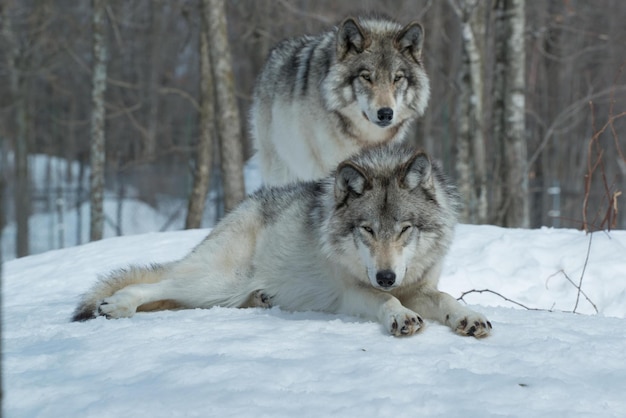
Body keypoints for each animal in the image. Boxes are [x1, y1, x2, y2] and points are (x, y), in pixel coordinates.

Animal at [73, 145, 490, 340]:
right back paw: (117, 305)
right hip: (215, 282)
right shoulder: (352, 292)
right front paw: (401, 316)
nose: (386, 276)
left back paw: (263, 299)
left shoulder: (420, 286)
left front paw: (468, 317)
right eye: (367, 230)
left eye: (404, 229)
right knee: (157, 285)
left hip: (219, 292)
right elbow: (386, 302)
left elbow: (446, 299)